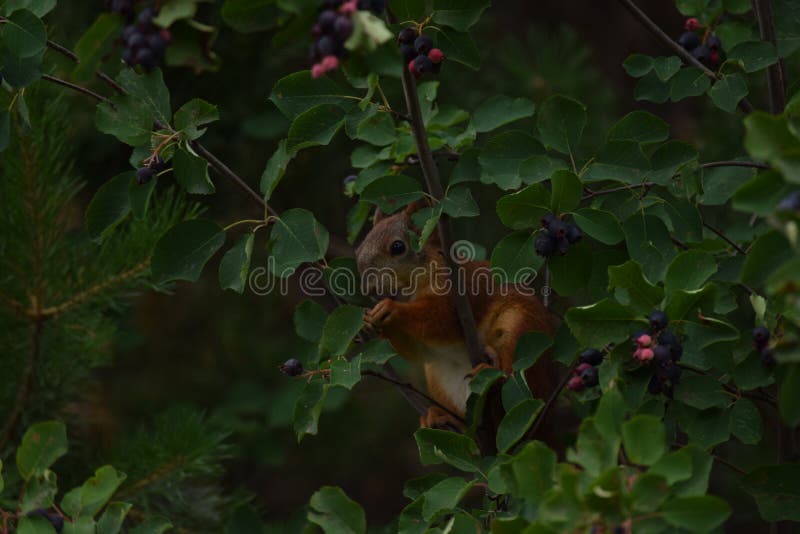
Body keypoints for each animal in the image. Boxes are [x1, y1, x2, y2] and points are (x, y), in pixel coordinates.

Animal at [356, 200, 560, 431]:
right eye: (358, 250)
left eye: (397, 247)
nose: (370, 289)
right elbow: (417, 350)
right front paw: (370, 321)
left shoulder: (461, 296)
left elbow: (442, 320)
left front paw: (391, 309)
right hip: (438, 374)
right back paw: (442, 418)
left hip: (520, 329)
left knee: (512, 375)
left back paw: (494, 377)